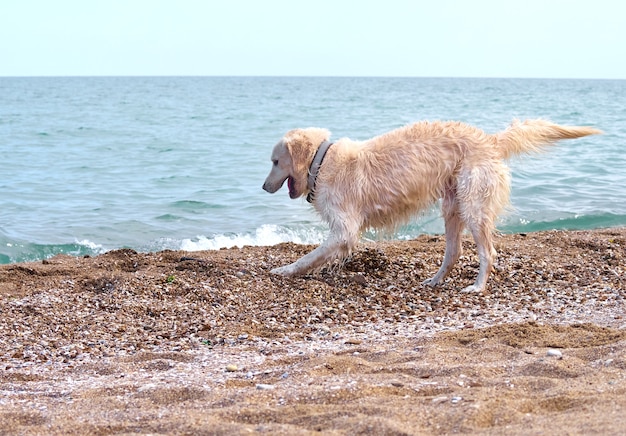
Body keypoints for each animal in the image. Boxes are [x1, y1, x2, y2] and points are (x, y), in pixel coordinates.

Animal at [260, 117, 596, 292]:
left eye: (275, 161)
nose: (263, 187)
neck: (321, 160)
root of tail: (489, 140)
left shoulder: (344, 229)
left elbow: (310, 256)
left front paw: (285, 270)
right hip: (452, 205)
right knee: (454, 252)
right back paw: (434, 280)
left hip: (473, 205)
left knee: (487, 252)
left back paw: (478, 286)